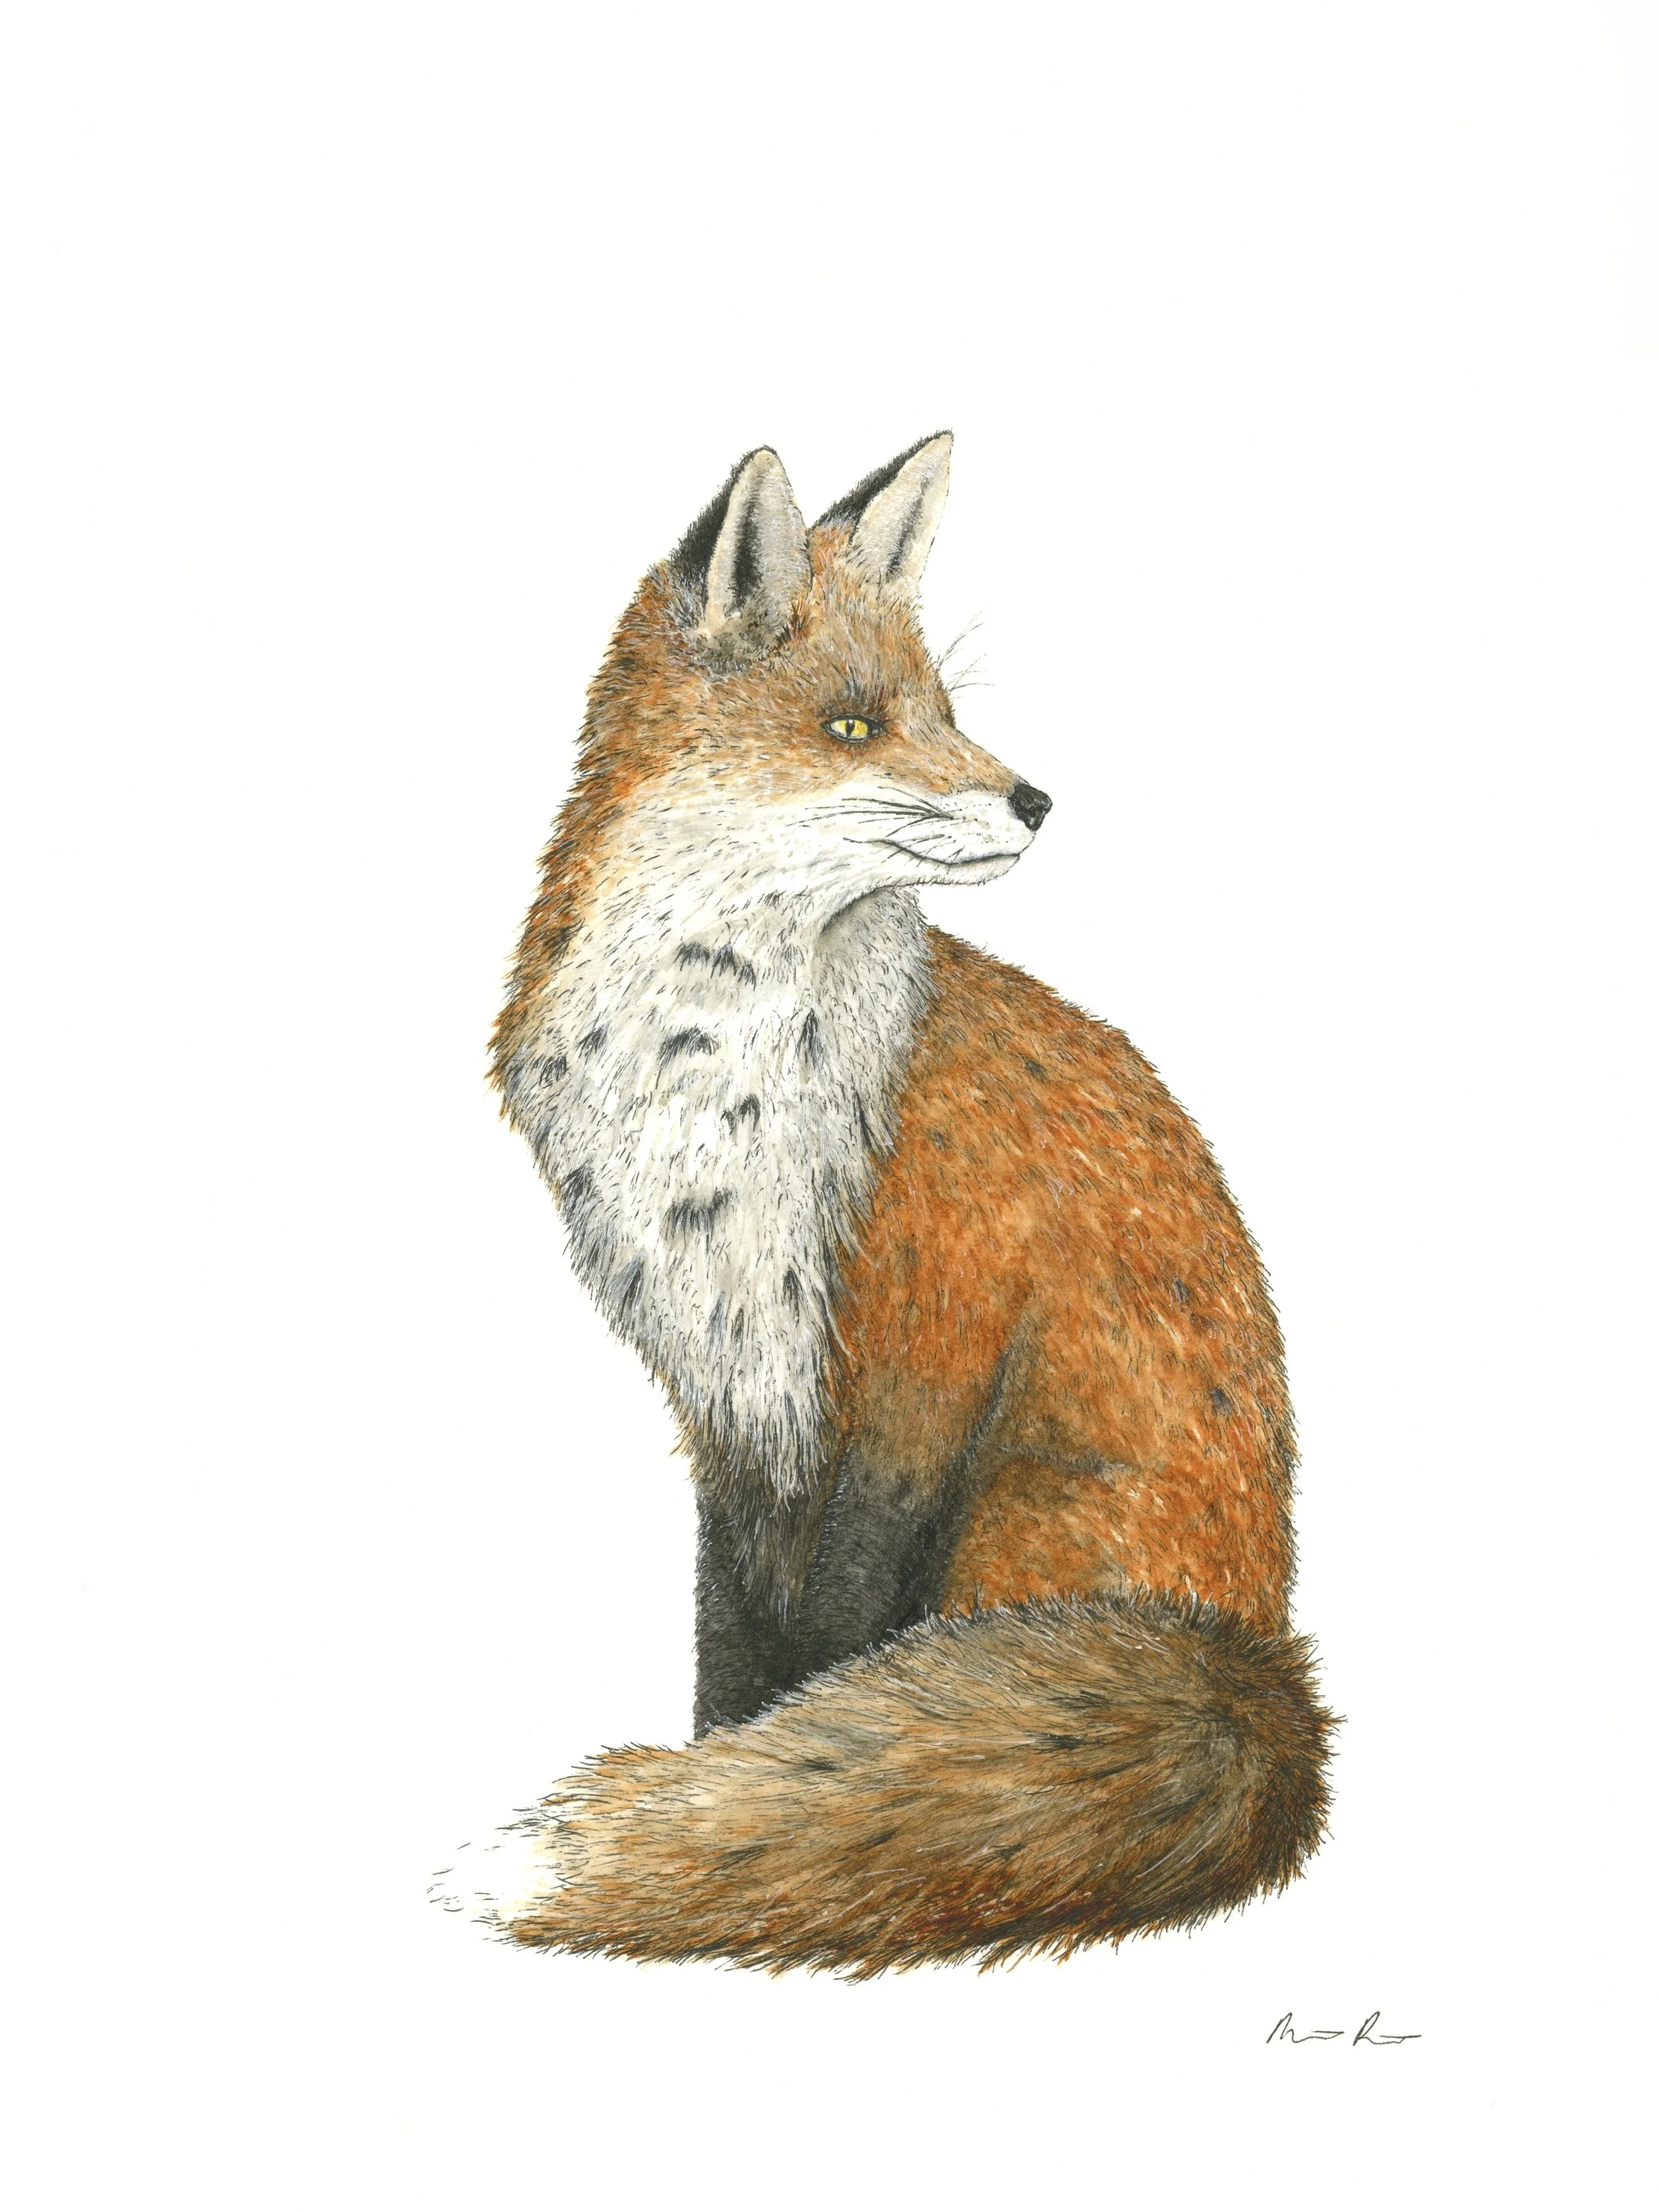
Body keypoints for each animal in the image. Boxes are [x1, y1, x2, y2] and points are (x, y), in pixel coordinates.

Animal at [436, 433, 1334, 1974]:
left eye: (946, 712)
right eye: (857, 725)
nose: (1035, 800)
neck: (715, 1076)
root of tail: (1259, 1667)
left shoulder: (918, 1351)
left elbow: (841, 1634)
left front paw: (739, 1805)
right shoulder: (727, 1383)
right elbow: (733, 1639)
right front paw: (725, 1770)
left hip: (1022, 1513)